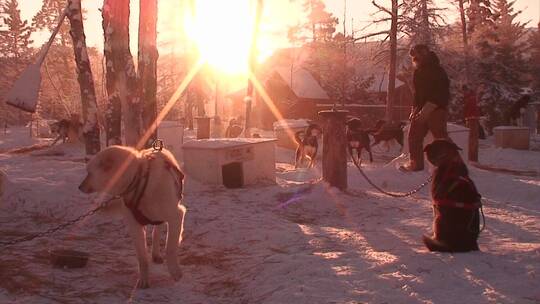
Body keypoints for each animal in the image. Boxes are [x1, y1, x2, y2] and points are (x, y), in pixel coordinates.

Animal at [77, 146, 188, 288]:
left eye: (89, 173)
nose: (79, 187)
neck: (140, 183)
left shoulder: (176, 216)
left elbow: (170, 249)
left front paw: (175, 272)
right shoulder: (135, 226)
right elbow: (142, 258)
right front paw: (143, 280)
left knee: (157, 231)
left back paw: (157, 254)